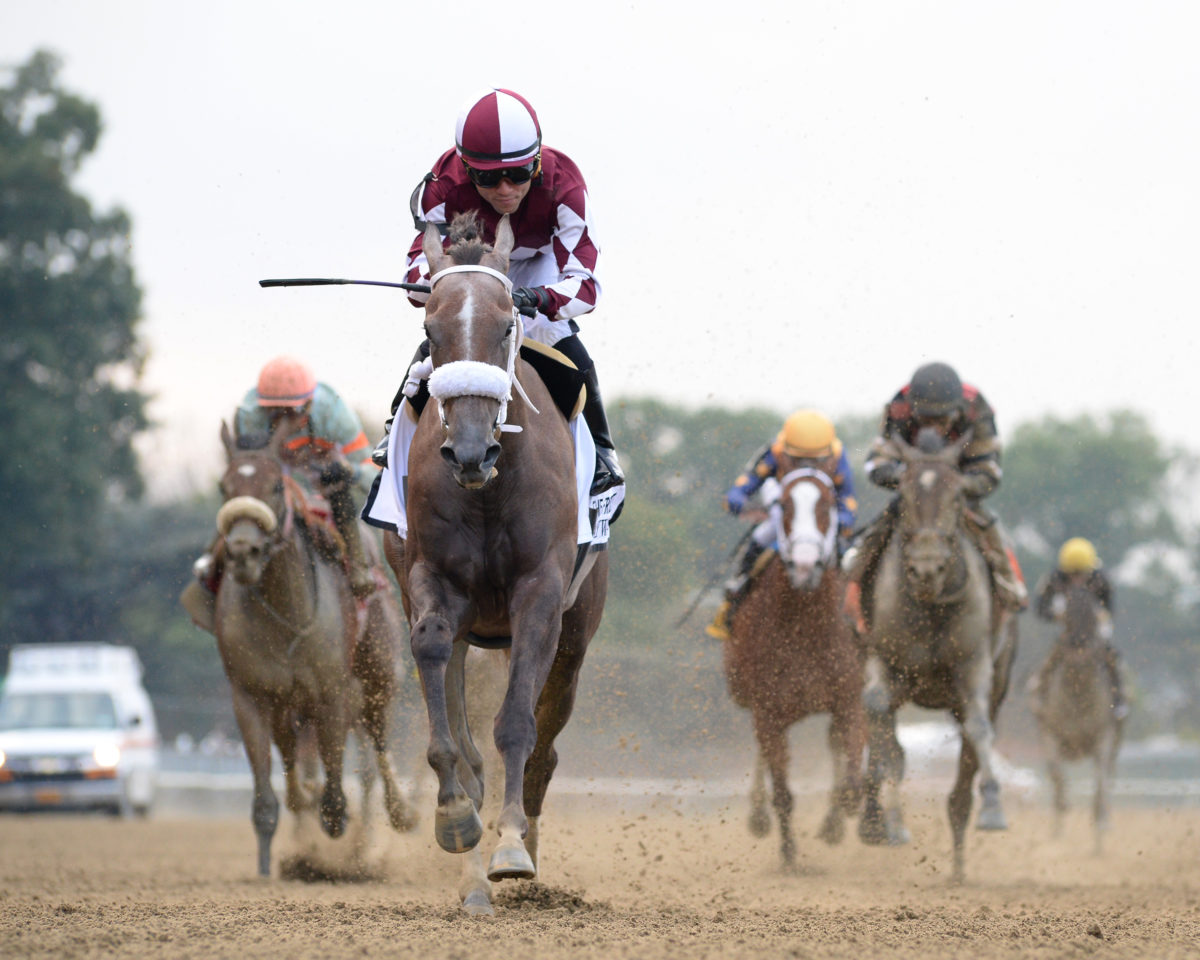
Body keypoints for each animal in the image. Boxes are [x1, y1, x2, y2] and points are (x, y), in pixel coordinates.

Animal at [216, 422, 417, 878]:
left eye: (276, 485)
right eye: (224, 487)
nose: (242, 551)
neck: (286, 614)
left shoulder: (333, 692)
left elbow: (337, 792)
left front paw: (336, 822)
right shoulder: (250, 696)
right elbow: (268, 795)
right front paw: (268, 863)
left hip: (379, 673)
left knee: (377, 743)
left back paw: (400, 813)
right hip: (289, 705)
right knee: (296, 754)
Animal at [384, 210, 609, 916]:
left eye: (508, 321)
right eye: (431, 331)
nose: (469, 449)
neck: (489, 487)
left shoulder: (539, 594)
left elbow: (516, 726)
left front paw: (510, 846)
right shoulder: (431, 580)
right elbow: (443, 695)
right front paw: (457, 816)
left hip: (574, 640)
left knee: (546, 744)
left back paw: (523, 846)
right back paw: (473, 866)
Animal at [720, 465, 864, 868]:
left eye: (828, 504)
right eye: (782, 505)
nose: (803, 565)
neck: (803, 625)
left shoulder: (849, 698)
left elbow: (852, 776)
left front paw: (838, 819)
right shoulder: (767, 707)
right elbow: (782, 790)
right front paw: (789, 856)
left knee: (835, 745)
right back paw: (759, 817)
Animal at [859, 432, 1017, 883]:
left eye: (957, 496)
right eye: (903, 493)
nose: (926, 568)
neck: (930, 603)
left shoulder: (974, 667)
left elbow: (979, 727)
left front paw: (993, 807)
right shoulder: (883, 659)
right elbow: (878, 717)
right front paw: (890, 820)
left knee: (967, 760)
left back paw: (960, 864)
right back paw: (876, 819)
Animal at [1032, 580, 1123, 849]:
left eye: (1092, 616)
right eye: (1067, 618)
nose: (1078, 650)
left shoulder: (1104, 735)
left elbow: (1100, 783)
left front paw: (1099, 832)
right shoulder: (1050, 733)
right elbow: (1057, 775)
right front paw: (1060, 821)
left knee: (1108, 778)